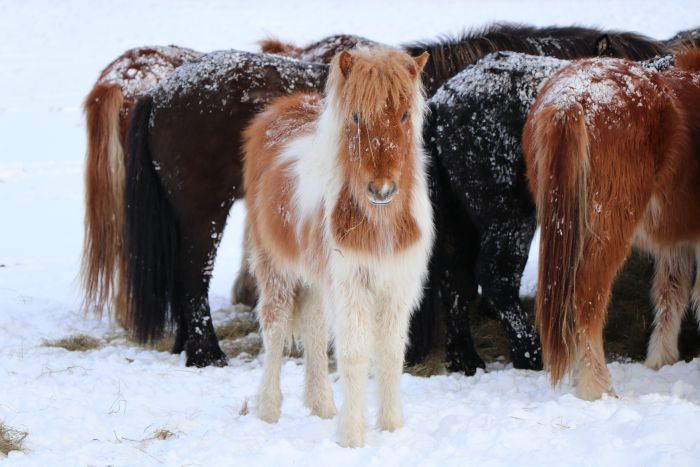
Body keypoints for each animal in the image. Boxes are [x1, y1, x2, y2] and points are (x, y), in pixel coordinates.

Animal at [246, 48, 432, 450]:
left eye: (405, 115)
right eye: (356, 116)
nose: (382, 190)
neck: (379, 221)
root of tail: (283, 107)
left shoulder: (396, 286)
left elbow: (391, 353)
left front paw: (391, 427)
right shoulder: (352, 286)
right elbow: (354, 354)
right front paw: (351, 436)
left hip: (315, 279)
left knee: (314, 328)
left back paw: (321, 407)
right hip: (275, 268)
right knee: (275, 329)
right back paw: (267, 409)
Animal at [524, 49, 700, 400]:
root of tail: (570, 97)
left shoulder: (676, 240)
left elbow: (670, 291)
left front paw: (660, 360)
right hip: (609, 229)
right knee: (587, 299)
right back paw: (597, 388)